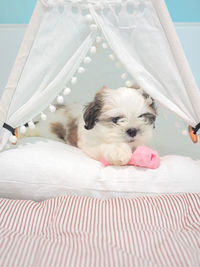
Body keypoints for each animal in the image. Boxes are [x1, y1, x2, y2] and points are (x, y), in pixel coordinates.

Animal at [21, 86, 156, 165]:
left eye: (142, 116)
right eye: (116, 119)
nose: (133, 130)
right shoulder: (89, 144)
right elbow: (104, 147)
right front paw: (118, 152)